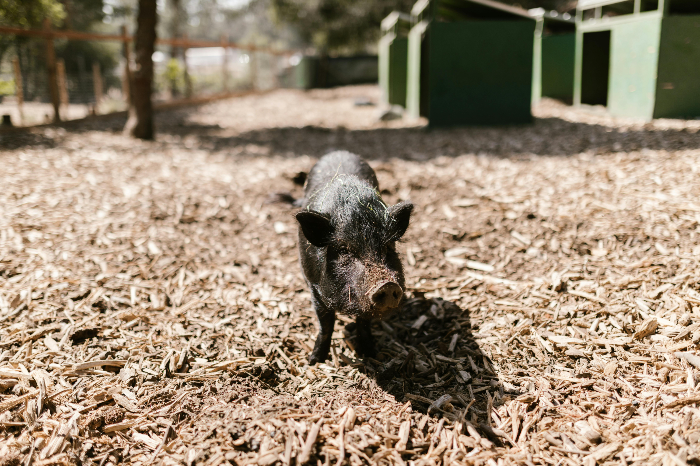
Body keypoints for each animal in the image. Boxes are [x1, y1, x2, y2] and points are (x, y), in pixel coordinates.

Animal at [294, 151, 413, 364]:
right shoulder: (314, 288)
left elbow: (364, 324)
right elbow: (326, 325)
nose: (387, 285)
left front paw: (372, 354)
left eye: (387, 246)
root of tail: (338, 151)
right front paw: (314, 361)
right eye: (344, 249)